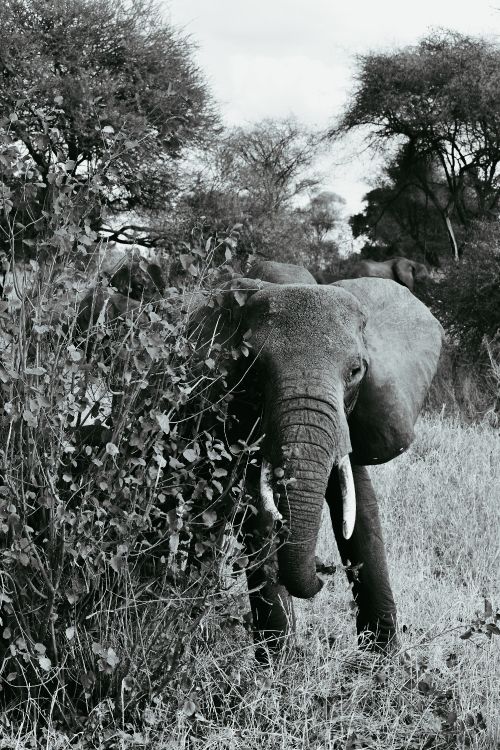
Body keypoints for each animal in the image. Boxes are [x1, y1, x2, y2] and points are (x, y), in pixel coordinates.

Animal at [193, 261, 443, 658]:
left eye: (356, 371)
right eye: (253, 369)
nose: (323, 571)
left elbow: (360, 507)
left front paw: (385, 661)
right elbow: (255, 512)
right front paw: (279, 666)